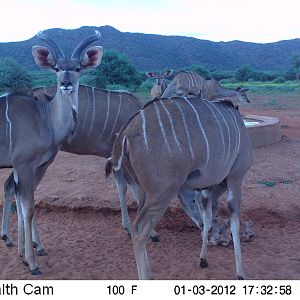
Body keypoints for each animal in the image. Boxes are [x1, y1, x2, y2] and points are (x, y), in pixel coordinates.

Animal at [0, 30, 102, 274]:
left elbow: (22, 203)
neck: (44, 117)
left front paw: (24, 254)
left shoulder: (30, 167)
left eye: (77, 68)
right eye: (56, 68)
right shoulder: (25, 165)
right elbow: (28, 207)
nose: (65, 84)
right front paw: (32, 262)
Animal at [106, 95, 252, 278]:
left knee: (136, 226)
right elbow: (234, 223)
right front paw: (241, 273)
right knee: (139, 229)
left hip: (142, 190)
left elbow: (207, 217)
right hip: (163, 192)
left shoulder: (206, 189)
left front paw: (203, 259)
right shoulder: (236, 178)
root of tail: (125, 134)